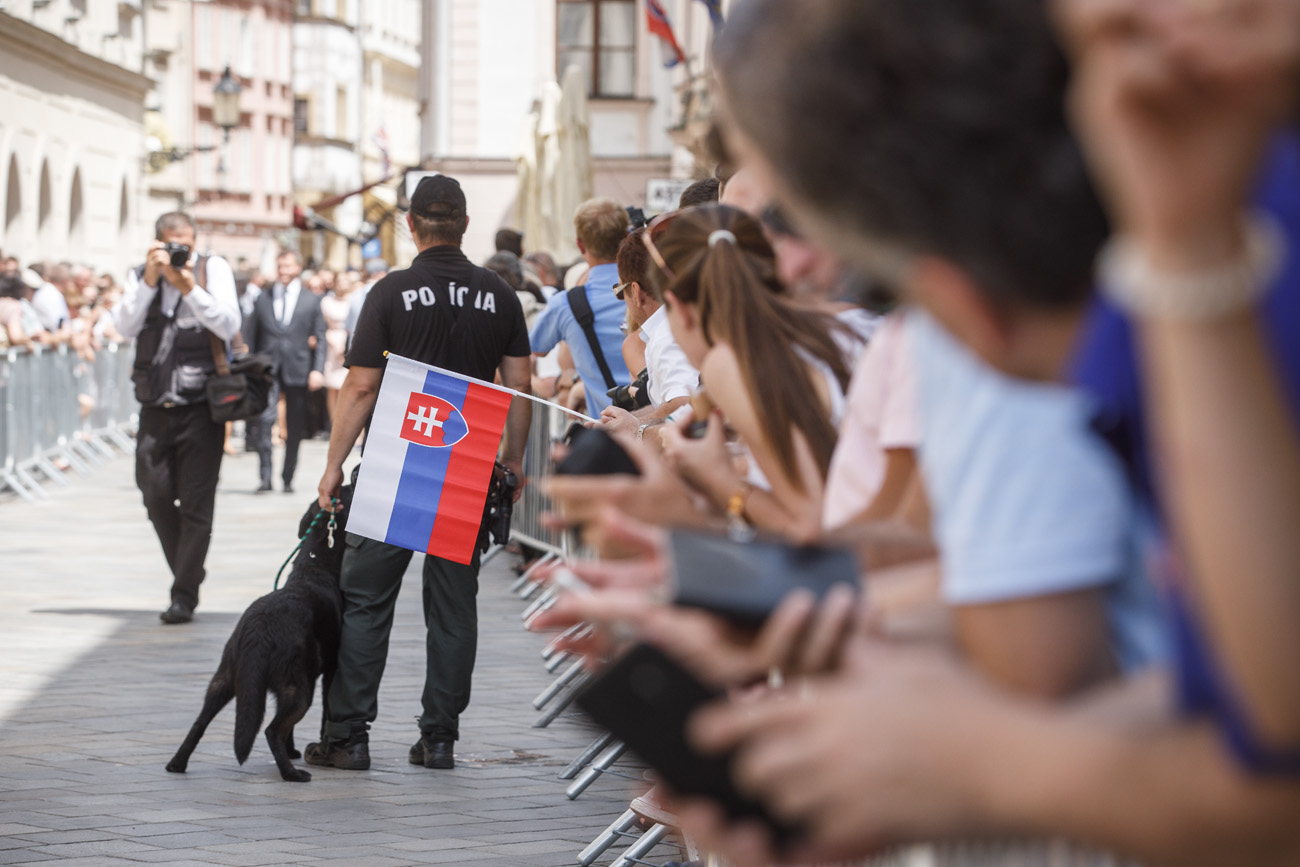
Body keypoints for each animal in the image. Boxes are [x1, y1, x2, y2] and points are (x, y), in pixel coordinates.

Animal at [165, 491, 353, 785]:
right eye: (346, 492)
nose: (344, 483)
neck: (314, 566)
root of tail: (259, 629)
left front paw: (292, 750)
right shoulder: (330, 673)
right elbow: (324, 717)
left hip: (223, 680)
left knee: (200, 722)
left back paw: (177, 764)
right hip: (298, 689)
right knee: (272, 730)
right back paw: (291, 774)